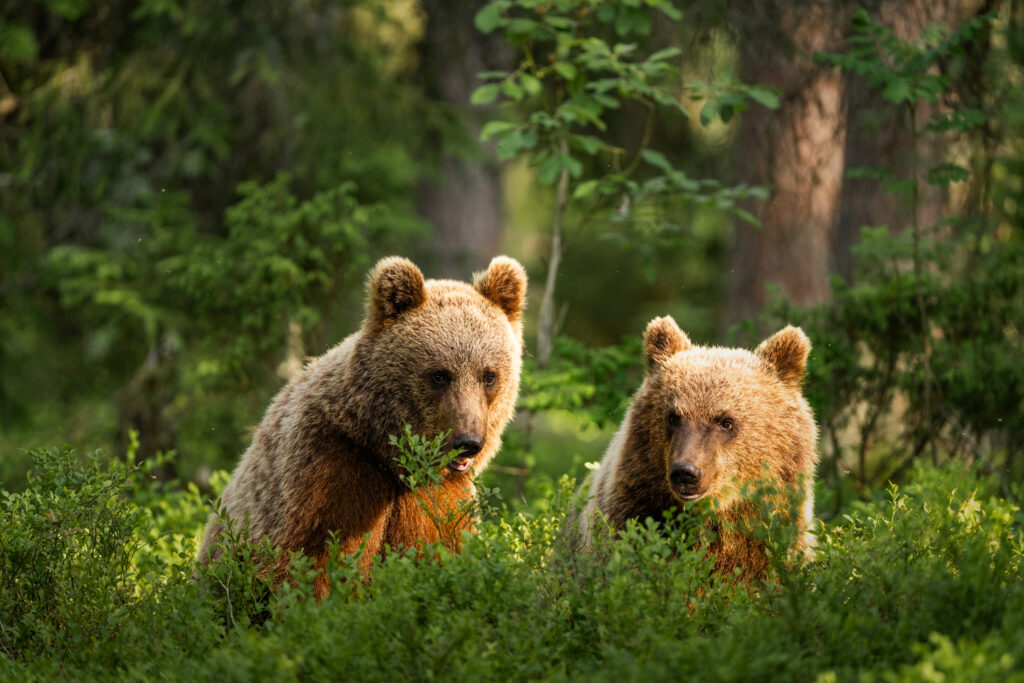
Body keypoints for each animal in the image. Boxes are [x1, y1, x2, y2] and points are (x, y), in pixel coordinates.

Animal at [198, 255, 527, 598]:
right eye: (439, 375)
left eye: (489, 376)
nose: (468, 441)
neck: (384, 451)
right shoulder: (330, 472)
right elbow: (318, 562)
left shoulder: (442, 500)